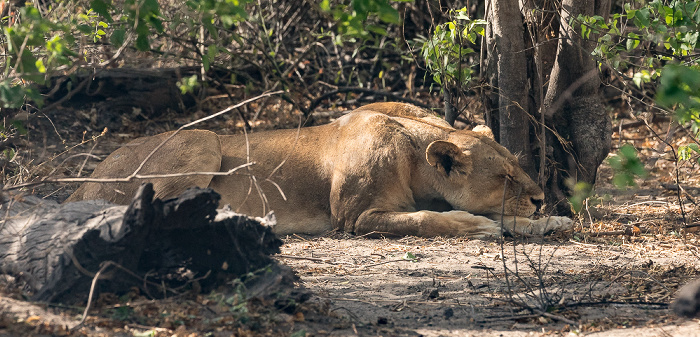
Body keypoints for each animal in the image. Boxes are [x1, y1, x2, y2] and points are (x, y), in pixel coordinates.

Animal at [65, 102, 572, 236]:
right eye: (504, 177)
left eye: (518, 166)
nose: (540, 197)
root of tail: (81, 183)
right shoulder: (355, 218)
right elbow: (428, 219)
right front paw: (477, 224)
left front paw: (548, 223)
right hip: (203, 138)